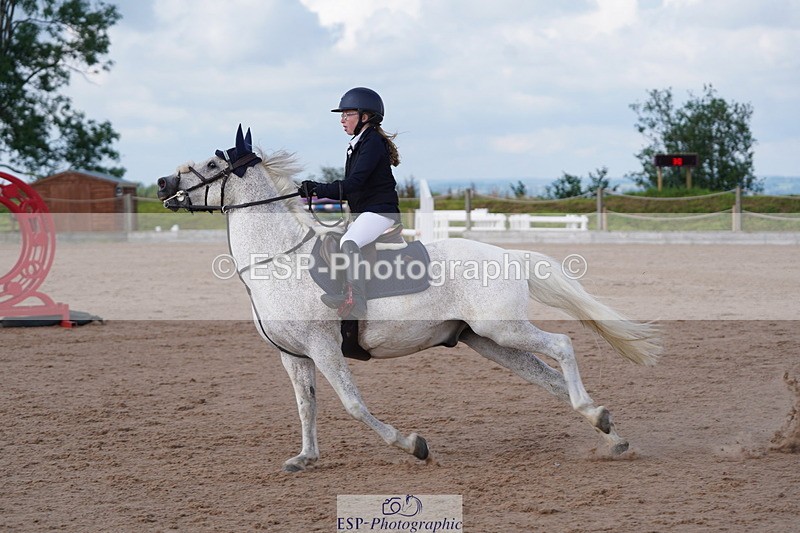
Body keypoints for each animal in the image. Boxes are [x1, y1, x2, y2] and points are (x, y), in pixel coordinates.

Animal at [157, 126, 661, 472]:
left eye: (209, 165)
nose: (162, 184)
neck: (278, 261)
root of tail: (508, 254)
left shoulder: (323, 347)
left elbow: (353, 405)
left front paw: (412, 445)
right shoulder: (294, 355)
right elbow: (306, 405)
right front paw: (305, 458)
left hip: (503, 329)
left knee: (562, 346)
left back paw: (597, 417)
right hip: (489, 341)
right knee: (549, 379)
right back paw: (608, 432)